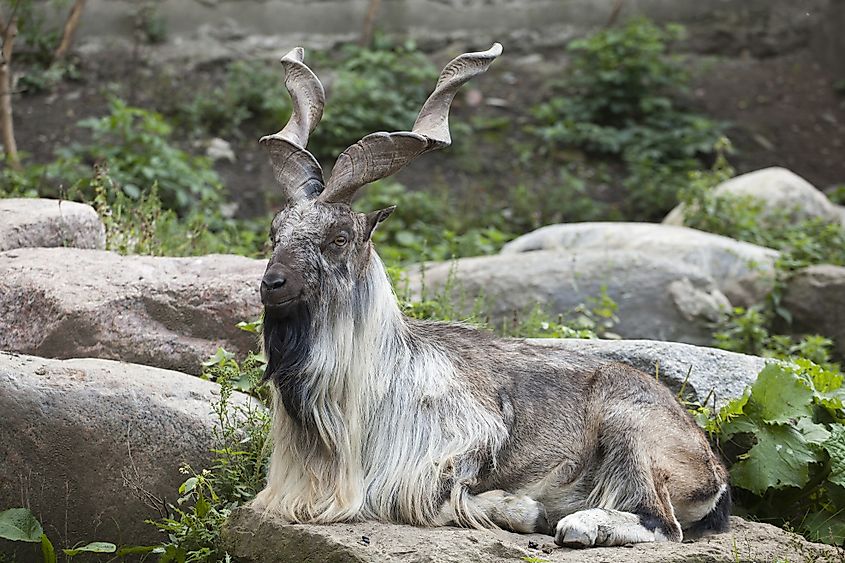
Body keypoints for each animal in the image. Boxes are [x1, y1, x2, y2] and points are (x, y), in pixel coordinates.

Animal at [251, 44, 731, 548]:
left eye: (339, 237)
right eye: (275, 233)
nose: (272, 284)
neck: (375, 385)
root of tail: (711, 468)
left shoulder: (453, 450)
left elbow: (440, 499)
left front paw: (526, 510)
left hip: (632, 428)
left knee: (663, 523)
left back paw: (578, 524)